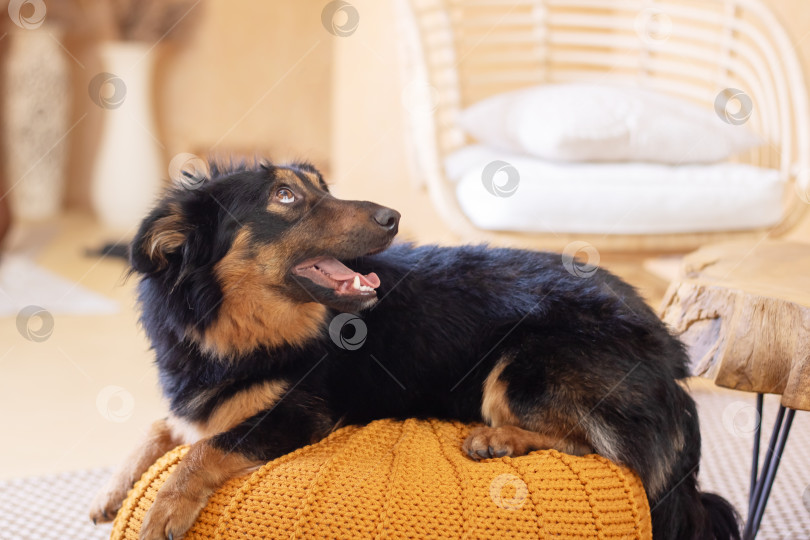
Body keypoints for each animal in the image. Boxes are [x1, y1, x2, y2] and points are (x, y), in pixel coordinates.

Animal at [88, 160, 740, 540]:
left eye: (323, 188)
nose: (393, 216)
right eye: (285, 196)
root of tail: (673, 357)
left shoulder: (298, 415)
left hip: (523, 364)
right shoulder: (200, 405)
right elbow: (163, 427)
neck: (234, 330)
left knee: (604, 451)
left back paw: (497, 439)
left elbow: (206, 449)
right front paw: (113, 491)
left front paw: (163, 508)